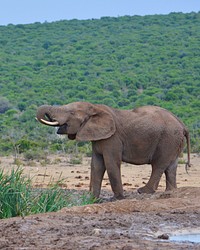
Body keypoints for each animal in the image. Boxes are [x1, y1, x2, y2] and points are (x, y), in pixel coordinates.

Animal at [36, 101, 191, 199]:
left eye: (71, 112)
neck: (95, 108)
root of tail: (183, 125)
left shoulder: (113, 138)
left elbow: (110, 164)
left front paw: (118, 198)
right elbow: (96, 165)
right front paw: (93, 199)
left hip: (168, 139)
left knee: (158, 165)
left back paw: (143, 191)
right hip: (174, 141)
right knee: (171, 167)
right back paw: (171, 192)